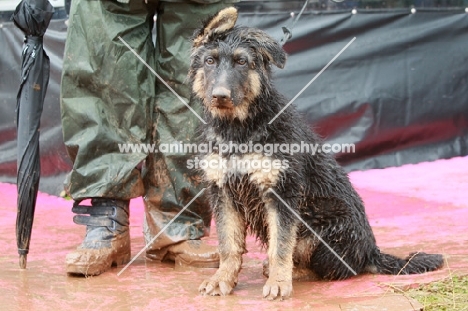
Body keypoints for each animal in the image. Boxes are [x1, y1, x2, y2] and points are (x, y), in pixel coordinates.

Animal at [188, 6, 444, 300]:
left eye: (242, 62)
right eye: (209, 61)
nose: (220, 96)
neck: (239, 129)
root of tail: (371, 252)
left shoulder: (282, 194)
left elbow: (280, 246)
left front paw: (279, 283)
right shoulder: (223, 193)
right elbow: (228, 245)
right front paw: (222, 279)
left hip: (320, 234)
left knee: (334, 270)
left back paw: (289, 273)